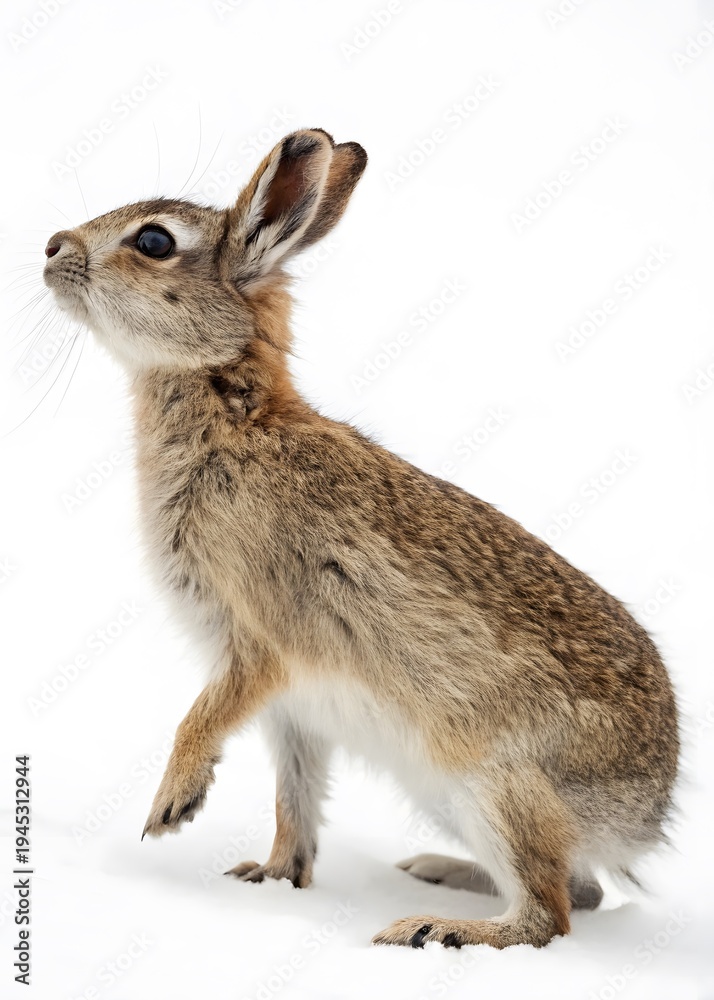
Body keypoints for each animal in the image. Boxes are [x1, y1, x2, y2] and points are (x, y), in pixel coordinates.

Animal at [43, 127, 679, 950]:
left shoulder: (261, 643)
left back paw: (434, 927)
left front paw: (171, 806)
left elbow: (204, 719)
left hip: (494, 782)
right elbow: (295, 796)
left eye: (153, 241)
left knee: (551, 915)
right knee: (584, 890)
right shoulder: (293, 708)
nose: (51, 248)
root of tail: (646, 816)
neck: (232, 410)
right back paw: (439, 873)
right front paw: (271, 877)